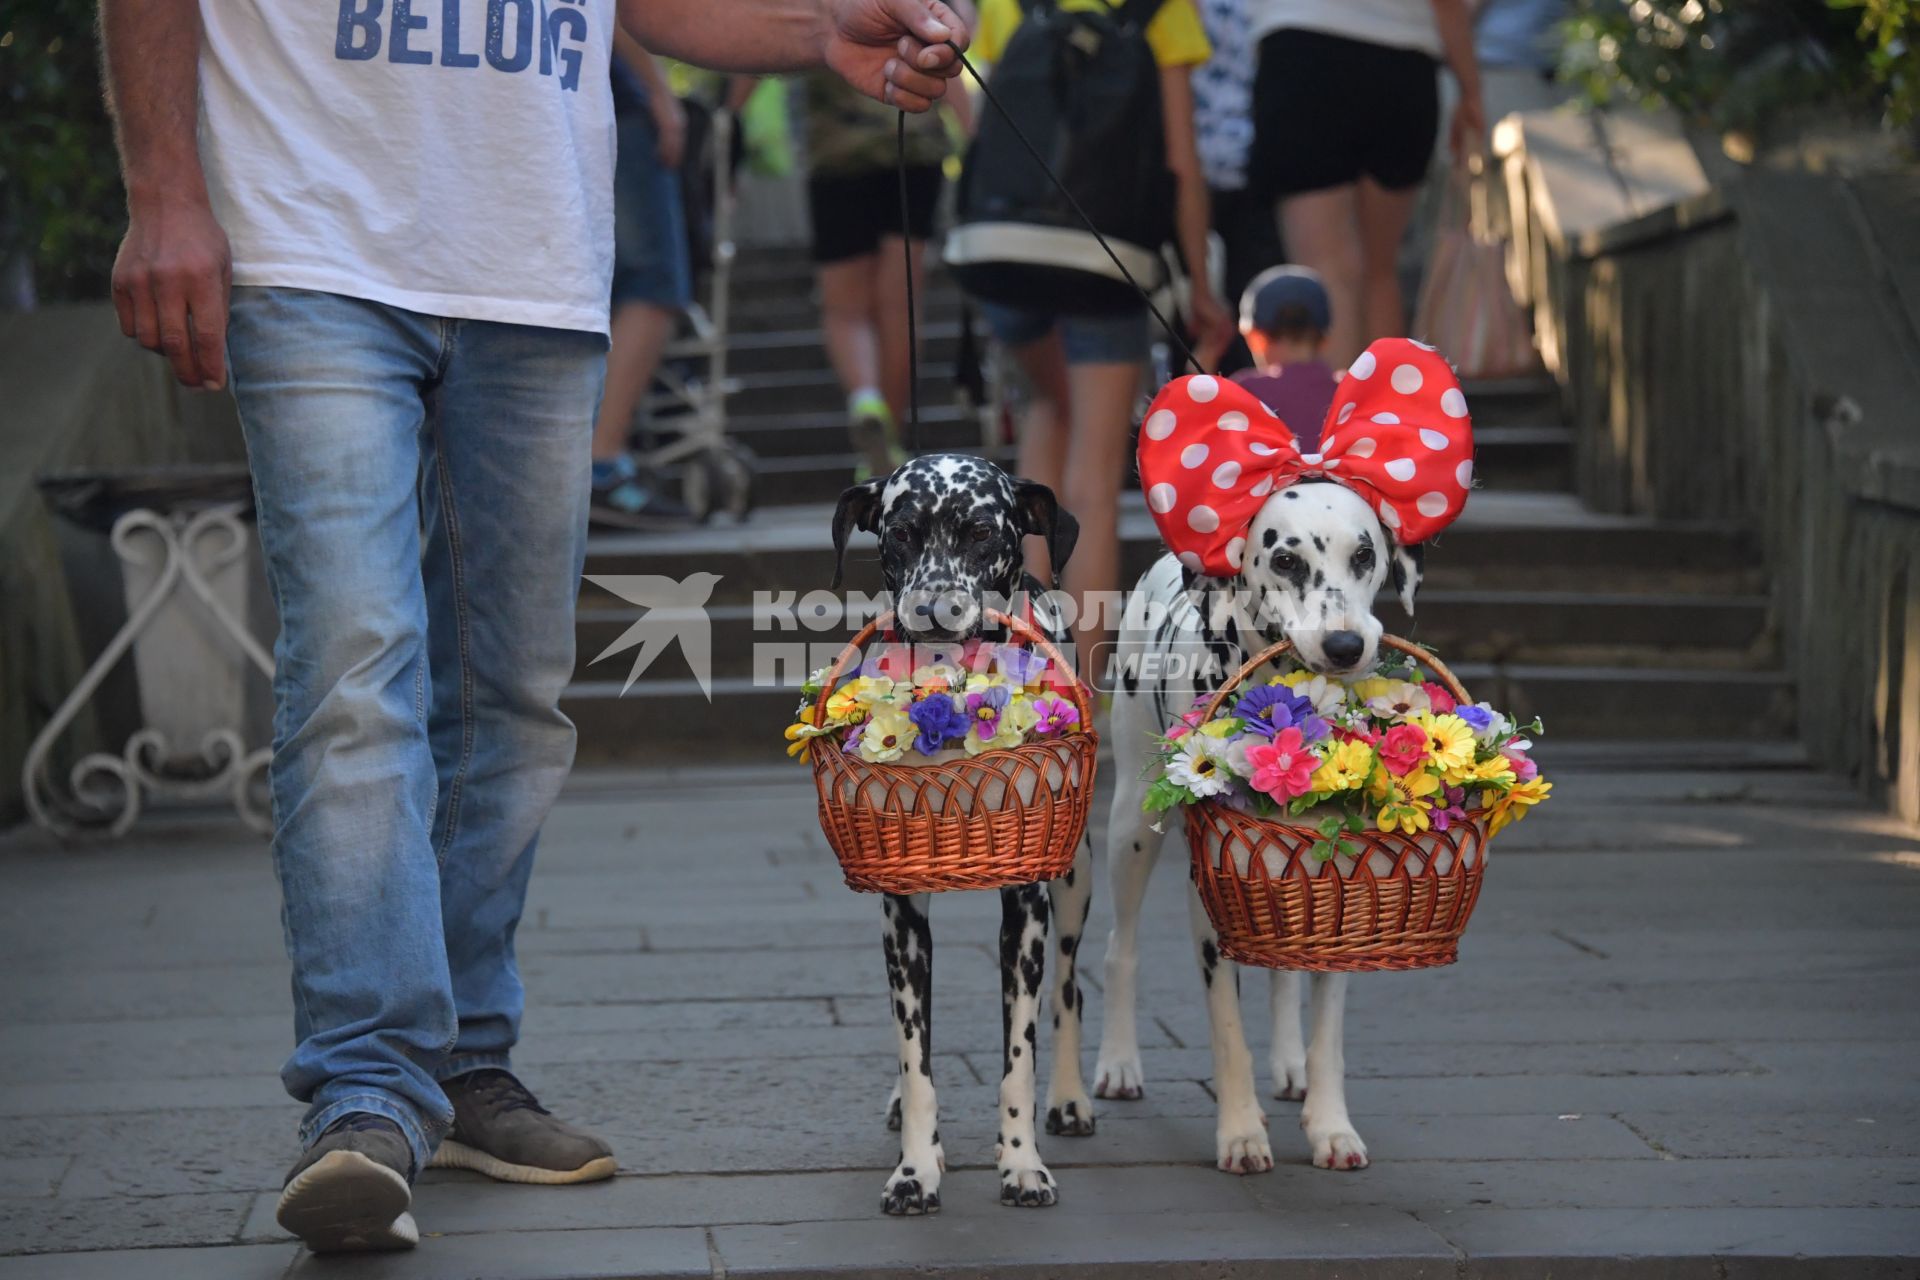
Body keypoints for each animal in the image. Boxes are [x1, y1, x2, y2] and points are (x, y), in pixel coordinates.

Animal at [825, 454, 1098, 1220]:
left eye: (981, 532)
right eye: (901, 532)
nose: (933, 607)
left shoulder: (1026, 911)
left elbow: (1019, 1061)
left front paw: (1022, 1165)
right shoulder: (901, 912)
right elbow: (918, 1061)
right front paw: (916, 1170)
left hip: (1075, 882)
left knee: (1070, 990)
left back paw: (1071, 1099)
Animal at [1098, 337, 1466, 1174]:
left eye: (1366, 555)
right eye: (1288, 561)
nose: (1345, 644)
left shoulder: (1341, 877)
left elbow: (1320, 1007)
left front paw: (1330, 1123)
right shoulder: (1209, 897)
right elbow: (1225, 1025)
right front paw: (1239, 1131)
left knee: (1284, 975)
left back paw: (1290, 1065)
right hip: (1132, 824)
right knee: (1118, 947)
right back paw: (1117, 1062)